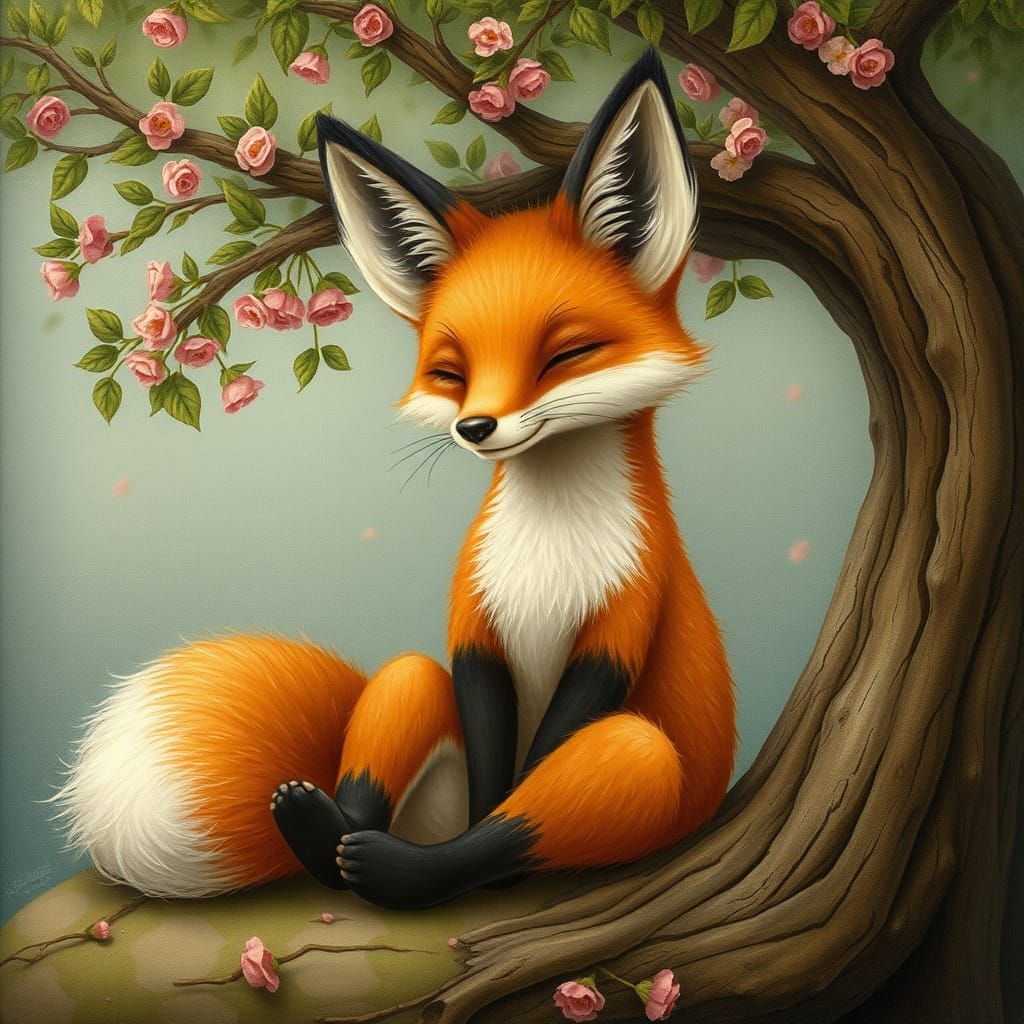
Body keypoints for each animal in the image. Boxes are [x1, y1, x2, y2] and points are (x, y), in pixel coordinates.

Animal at [54, 50, 736, 910]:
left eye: (565, 356)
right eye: (451, 371)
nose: (476, 428)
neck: (550, 546)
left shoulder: (622, 624)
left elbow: (530, 775)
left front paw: (484, 869)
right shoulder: (475, 629)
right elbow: (489, 751)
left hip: (644, 763)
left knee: (524, 817)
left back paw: (408, 869)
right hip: (415, 688)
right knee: (404, 723)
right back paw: (322, 830)